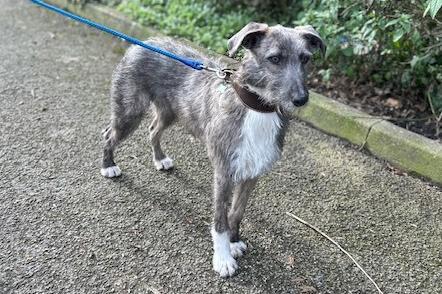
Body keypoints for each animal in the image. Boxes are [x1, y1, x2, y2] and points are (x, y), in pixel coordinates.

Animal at [101, 23, 324, 278]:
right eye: (274, 58)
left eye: (305, 58)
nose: (301, 99)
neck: (257, 108)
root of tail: (141, 43)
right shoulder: (223, 173)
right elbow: (220, 221)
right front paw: (223, 258)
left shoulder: (252, 173)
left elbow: (236, 212)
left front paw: (234, 241)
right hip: (130, 111)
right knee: (109, 135)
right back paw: (108, 166)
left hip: (170, 112)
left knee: (153, 130)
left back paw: (160, 159)